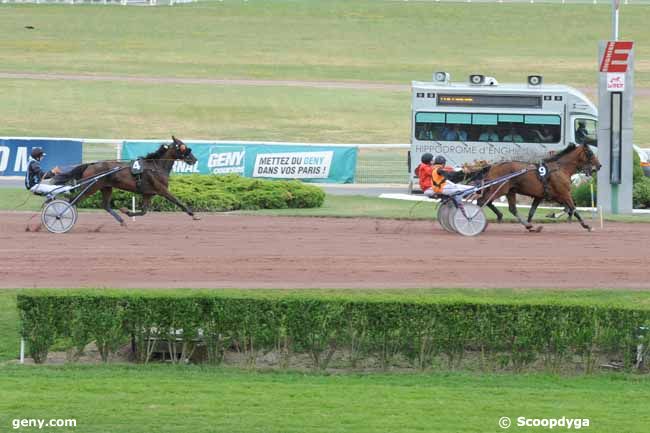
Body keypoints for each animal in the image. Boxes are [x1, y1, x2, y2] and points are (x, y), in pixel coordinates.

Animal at [54, 136, 199, 226]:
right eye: (183, 147)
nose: (194, 159)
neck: (156, 166)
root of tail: (90, 164)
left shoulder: (148, 193)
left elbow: (144, 211)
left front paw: (126, 211)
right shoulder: (162, 190)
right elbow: (178, 201)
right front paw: (194, 215)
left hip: (106, 187)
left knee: (105, 205)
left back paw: (121, 220)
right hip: (91, 187)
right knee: (72, 201)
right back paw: (59, 216)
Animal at [468, 143, 600, 231]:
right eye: (590, 153)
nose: (599, 166)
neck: (560, 169)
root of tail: (492, 166)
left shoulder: (544, 196)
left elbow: (532, 211)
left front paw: (534, 225)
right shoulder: (564, 194)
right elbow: (573, 208)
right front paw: (586, 225)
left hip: (509, 191)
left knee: (510, 208)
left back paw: (521, 223)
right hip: (499, 189)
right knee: (482, 201)